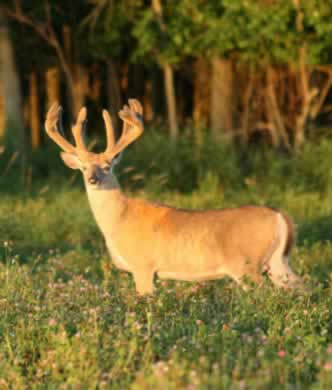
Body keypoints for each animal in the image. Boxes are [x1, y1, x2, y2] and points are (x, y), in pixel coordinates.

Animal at [45, 99, 302, 294]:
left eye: (108, 166)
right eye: (83, 168)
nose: (93, 180)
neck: (119, 220)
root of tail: (280, 216)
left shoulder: (143, 266)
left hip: (247, 266)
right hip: (278, 261)